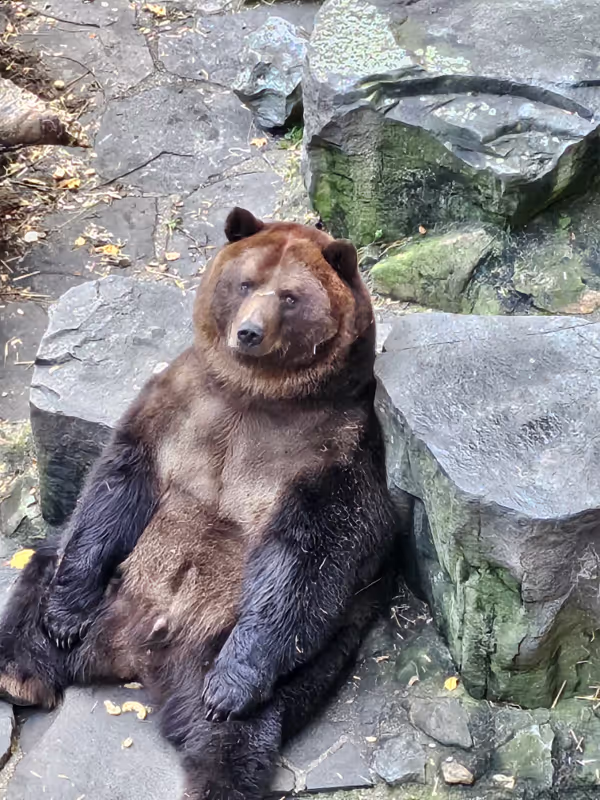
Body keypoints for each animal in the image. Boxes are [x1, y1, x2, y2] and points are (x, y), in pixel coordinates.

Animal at [0, 208, 399, 799]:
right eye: (246, 283)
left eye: (290, 297)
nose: (248, 332)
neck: (256, 393)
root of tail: (136, 653)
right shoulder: (177, 403)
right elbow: (118, 485)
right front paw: (65, 619)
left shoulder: (332, 448)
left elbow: (310, 551)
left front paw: (230, 689)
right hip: (112, 582)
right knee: (43, 573)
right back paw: (21, 672)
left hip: (241, 638)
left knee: (251, 715)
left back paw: (219, 760)